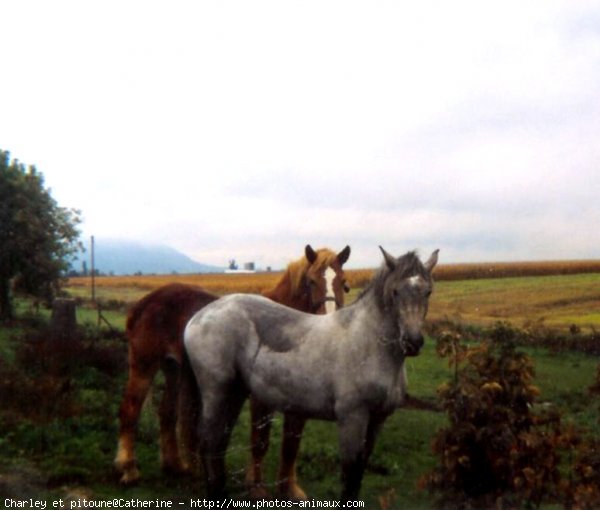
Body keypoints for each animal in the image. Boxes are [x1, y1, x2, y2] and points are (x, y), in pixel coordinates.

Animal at [113, 245, 352, 496]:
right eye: (311, 281)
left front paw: (289, 489)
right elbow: (260, 440)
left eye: (344, 283)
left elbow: (291, 443)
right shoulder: (259, 399)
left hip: (173, 369)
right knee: (130, 410)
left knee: (167, 413)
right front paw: (256, 487)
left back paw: (175, 466)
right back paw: (128, 469)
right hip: (143, 365)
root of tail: (145, 302)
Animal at [185, 247, 438, 502]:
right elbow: (350, 478)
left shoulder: (377, 421)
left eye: (428, 291)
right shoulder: (352, 419)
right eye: (395, 291)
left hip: (235, 394)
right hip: (217, 392)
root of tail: (199, 317)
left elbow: (358, 475)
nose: (413, 342)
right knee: (209, 442)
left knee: (218, 444)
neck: (367, 342)